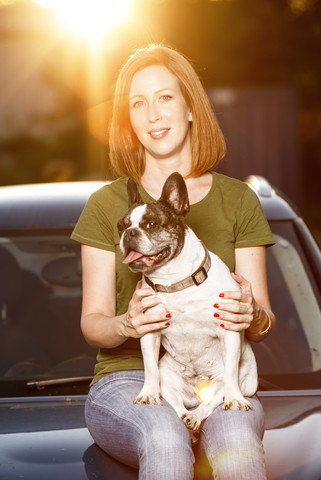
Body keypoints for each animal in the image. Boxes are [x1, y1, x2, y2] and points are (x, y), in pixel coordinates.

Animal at [117, 173, 258, 436]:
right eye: (120, 226)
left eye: (152, 225)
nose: (129, 233)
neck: (173, 281)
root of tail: (196, 393)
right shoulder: (149, 331)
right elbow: (149, 368)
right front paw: (148, 394)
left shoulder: (229, 329)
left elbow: (230, 375)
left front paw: (235, 400)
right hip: (168, 379)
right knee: (176, 404)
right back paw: (186, 416)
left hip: (241, 378)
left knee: (213, 400)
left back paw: (201, 413)